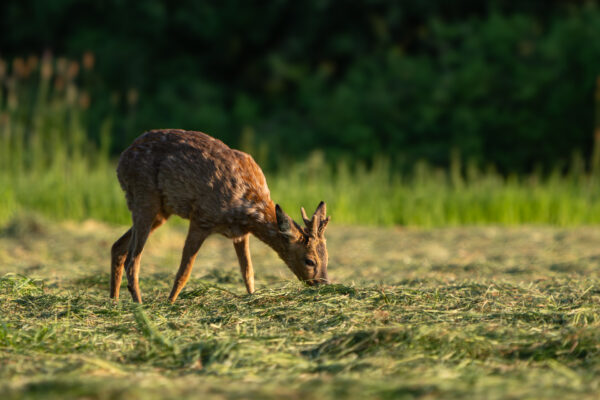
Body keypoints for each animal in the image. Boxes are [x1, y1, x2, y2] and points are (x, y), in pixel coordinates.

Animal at [110, 129, 330, 304]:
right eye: (309, 261)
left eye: (327, 256)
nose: (324, 285)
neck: (248, 205)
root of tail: (121, 159)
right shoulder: (201, 217)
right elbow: (184, 271)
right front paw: (170, 303)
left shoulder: (240, 233)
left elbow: (248, 271)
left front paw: (252, 297)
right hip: (145, 197)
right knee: (133, 260)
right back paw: (138, 305)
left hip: (161, 211)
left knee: (118, 247)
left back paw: (114, 301)